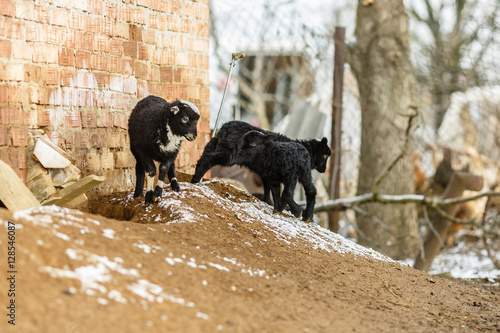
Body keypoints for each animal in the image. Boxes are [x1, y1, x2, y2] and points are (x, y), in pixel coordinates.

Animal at [189, 118, 330, 202]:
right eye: (325, 156)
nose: (324, 170)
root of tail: (226, 126)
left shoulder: (267, 173)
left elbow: (267, 188)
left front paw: (267, 201)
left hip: (214, 145)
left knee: (202, 158)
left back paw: (195, 179)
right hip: (229, 155)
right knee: (208, 159)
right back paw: (196, 180)